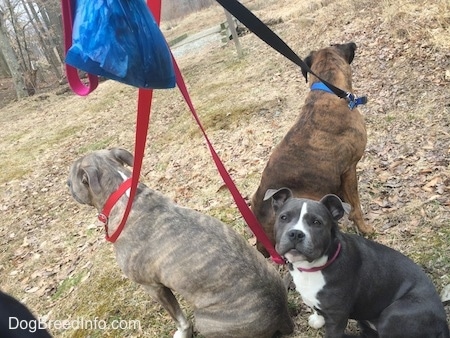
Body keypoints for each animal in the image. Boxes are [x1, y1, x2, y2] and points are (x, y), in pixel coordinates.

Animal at [266, 187, 448, 338]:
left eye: (316, 222)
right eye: (284, 217)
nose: (296, 233)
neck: (314, 267)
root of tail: (443, 325)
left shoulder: (337, 317)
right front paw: (317, 319)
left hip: (394, 313)